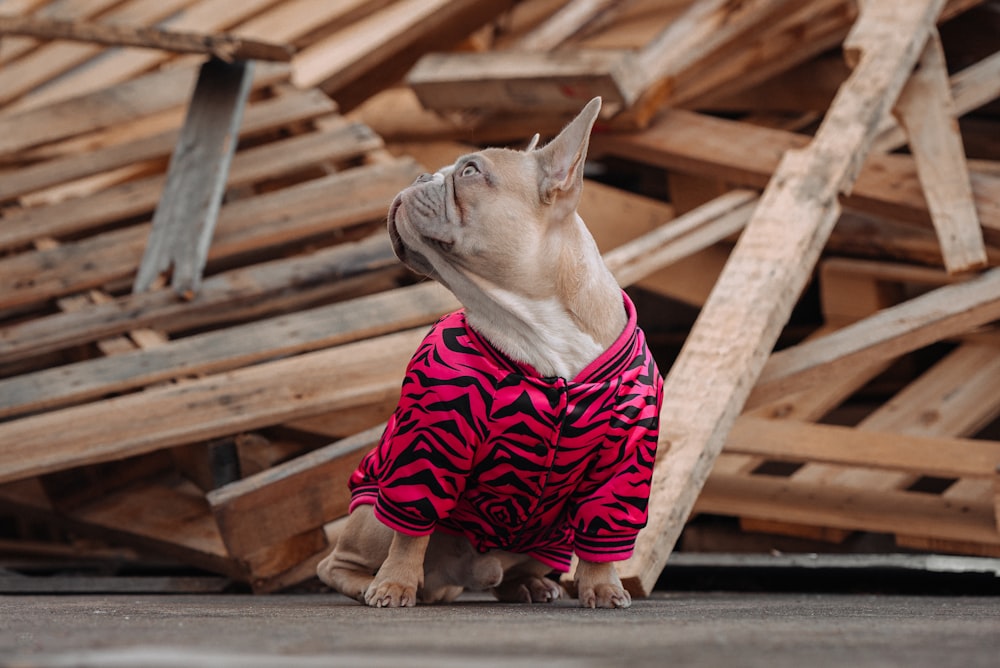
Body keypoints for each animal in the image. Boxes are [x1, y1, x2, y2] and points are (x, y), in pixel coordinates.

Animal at [316, 98, 660, 604]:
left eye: (470, 171)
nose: (421, 176)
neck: (538, 326)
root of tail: (460, 578)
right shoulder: (429, 443)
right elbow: (412, 529)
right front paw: (394, 584)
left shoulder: (624, 459)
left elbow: (603, 536)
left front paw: (602, 588)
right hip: (370, 515)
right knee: (339, 563)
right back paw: (377, 585)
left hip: (552, 541)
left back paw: (531, 585)